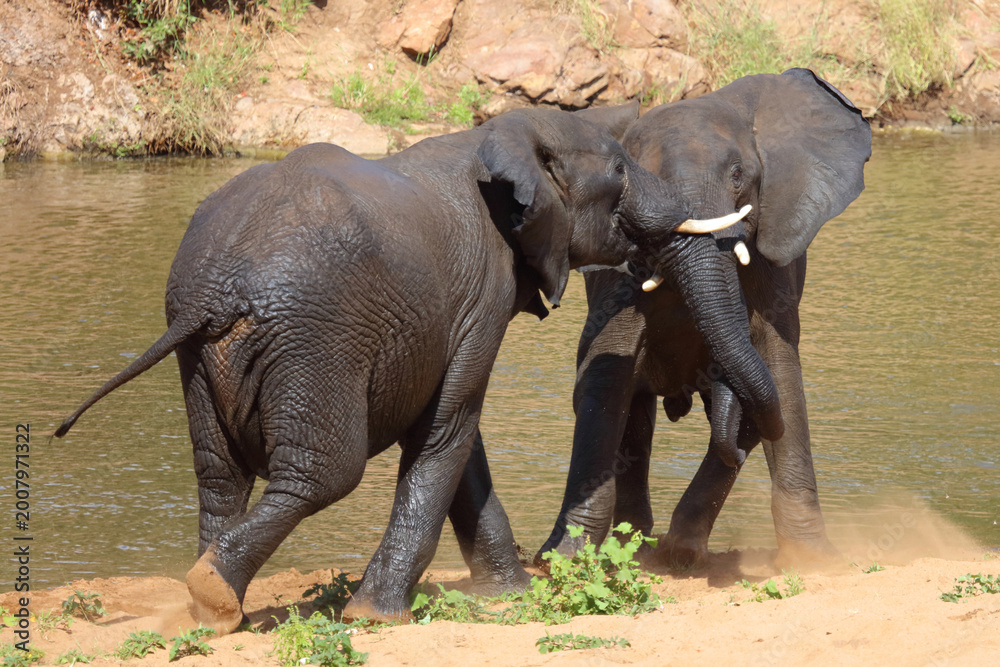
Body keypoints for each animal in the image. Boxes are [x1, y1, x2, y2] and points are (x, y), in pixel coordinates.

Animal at [54, 104, 750, 631]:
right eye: (618, 169)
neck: (497, 139)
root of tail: (217, 290)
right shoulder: (485, 289)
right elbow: (449, 426)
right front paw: (379, 616)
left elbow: (453, 434)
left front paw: (511, 595)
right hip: (315, 340)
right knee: (324, 473)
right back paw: (215, 592)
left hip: (202, 355)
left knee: (220, 473)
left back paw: (217, 613)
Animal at [538, 69, 872, 568]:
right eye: (638, 182)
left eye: (737, 175)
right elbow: (605, 376)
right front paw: (563, 558)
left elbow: (779, 373)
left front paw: (816, 561)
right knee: (636, 415)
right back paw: (638, 544)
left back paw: (680, 550)